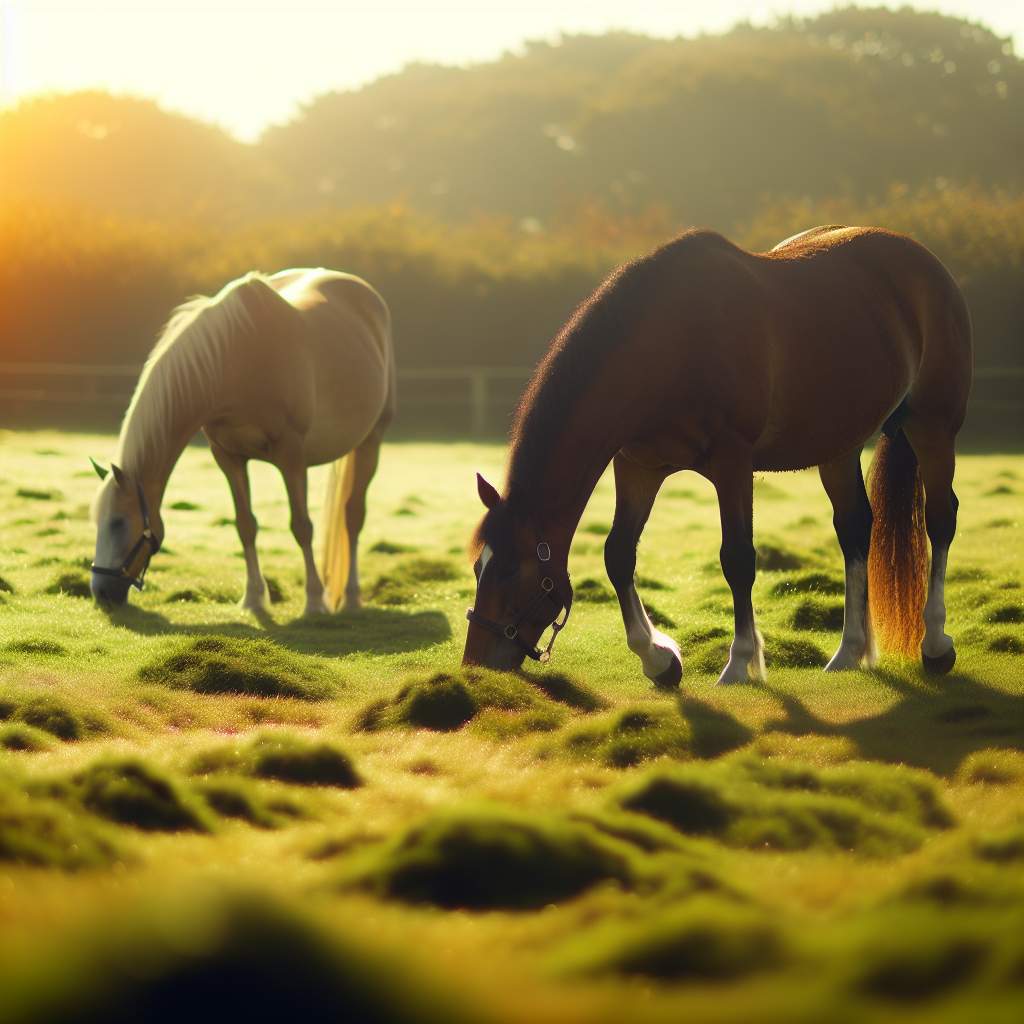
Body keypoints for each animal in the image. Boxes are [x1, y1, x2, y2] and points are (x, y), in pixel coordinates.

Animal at [90, 268, 393, 610]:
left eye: (118, 523)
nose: (100, 592)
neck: (233, 362)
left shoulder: (292, 456)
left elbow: (302, 527)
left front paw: (314, 601)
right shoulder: (228, 456)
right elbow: (245, 525)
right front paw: (253, 598)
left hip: (371, 440)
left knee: (352, 517)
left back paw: (352, 598)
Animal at [468, 225, 970, 688]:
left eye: (511, 573)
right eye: (478, 566)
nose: (475, 663)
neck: (671, 346)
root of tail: (926, 263)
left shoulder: (732, 463)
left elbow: (738, 559)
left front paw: (740, 662)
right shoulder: (639, 466)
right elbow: (618, 555)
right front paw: (659, 660)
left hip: (932, 426)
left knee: (940, 519)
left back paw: (935, 646)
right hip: (838, 446)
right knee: (854, 529)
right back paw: (849, 651)